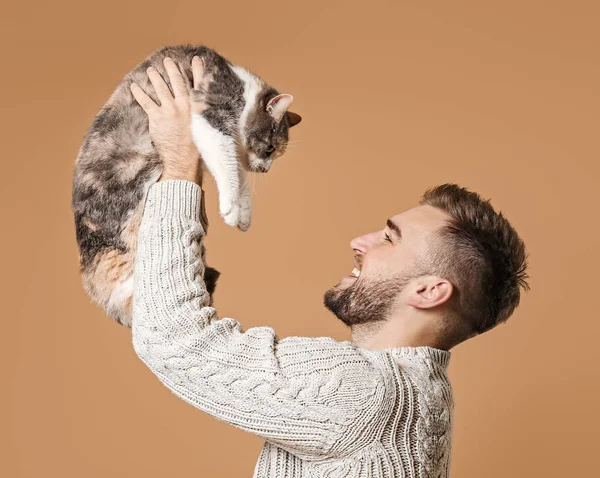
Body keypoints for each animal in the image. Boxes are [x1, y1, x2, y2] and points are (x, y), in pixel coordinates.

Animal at [72, 44, 302, 326]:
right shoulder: (211, 115)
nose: (266, 168)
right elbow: (226, 164)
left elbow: (238, 173)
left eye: (274, 154)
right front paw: (231, 208)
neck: (241, 85)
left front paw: (244, 213)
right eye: (270, 149)